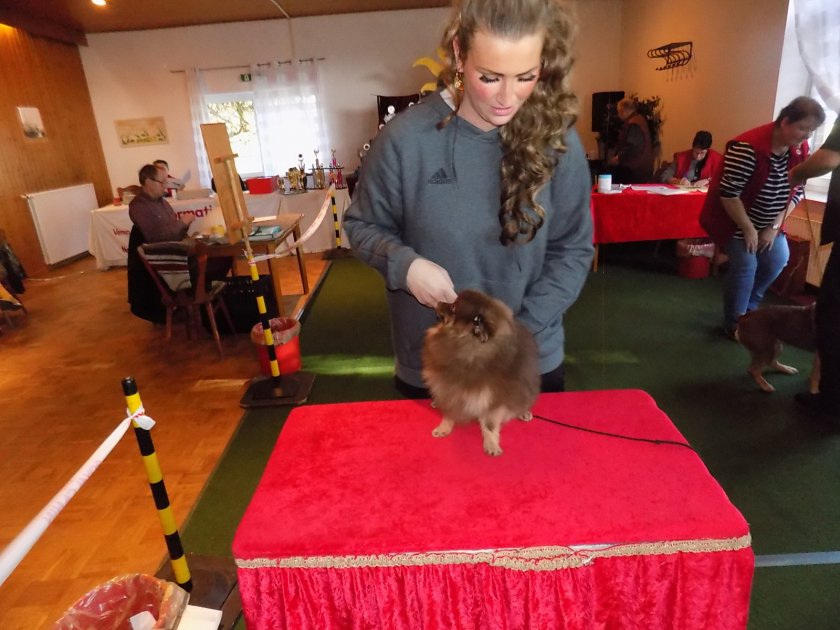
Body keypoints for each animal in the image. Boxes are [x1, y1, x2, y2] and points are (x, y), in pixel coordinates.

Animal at [421, 289, 540, 456]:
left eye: (453, 307)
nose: (439, 302)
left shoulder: (493, 397)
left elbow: (490, 424)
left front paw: (491, 444)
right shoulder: (448, 389)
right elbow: (449, 413)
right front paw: (443, 428)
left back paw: (523, 412)